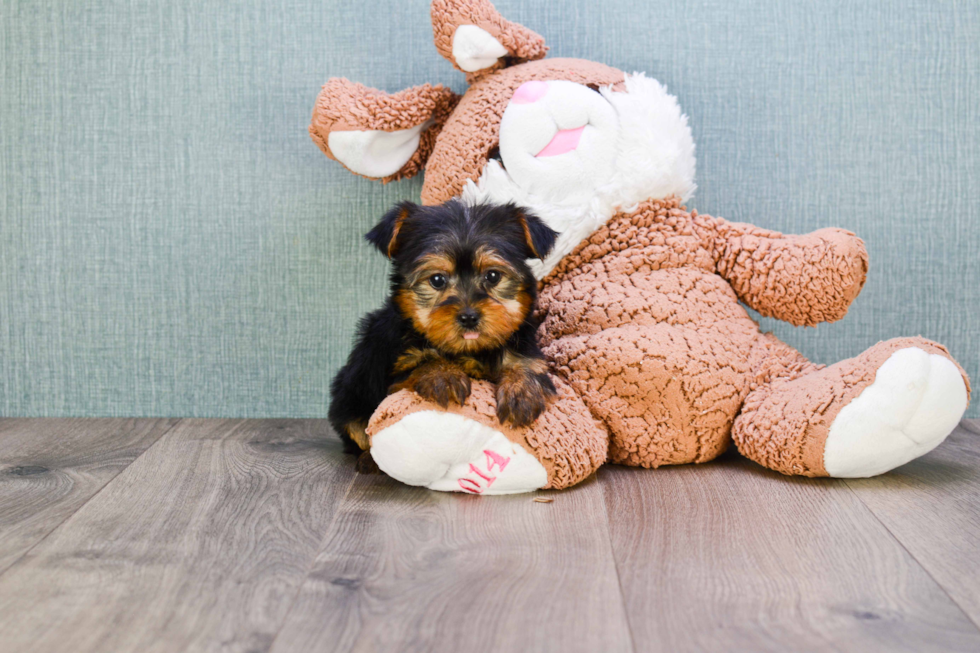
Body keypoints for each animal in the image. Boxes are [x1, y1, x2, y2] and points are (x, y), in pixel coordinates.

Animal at [330, 199, 560, 468]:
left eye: (493, 275)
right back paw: (370, 460)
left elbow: (526, 365)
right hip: (349, 396)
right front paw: (444, 375)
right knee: (358, 430)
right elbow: (423, 362)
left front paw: (521, 393)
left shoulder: (526, 348)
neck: (469, 350)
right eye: (437, 280)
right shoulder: (394, 374)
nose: (469, 317)